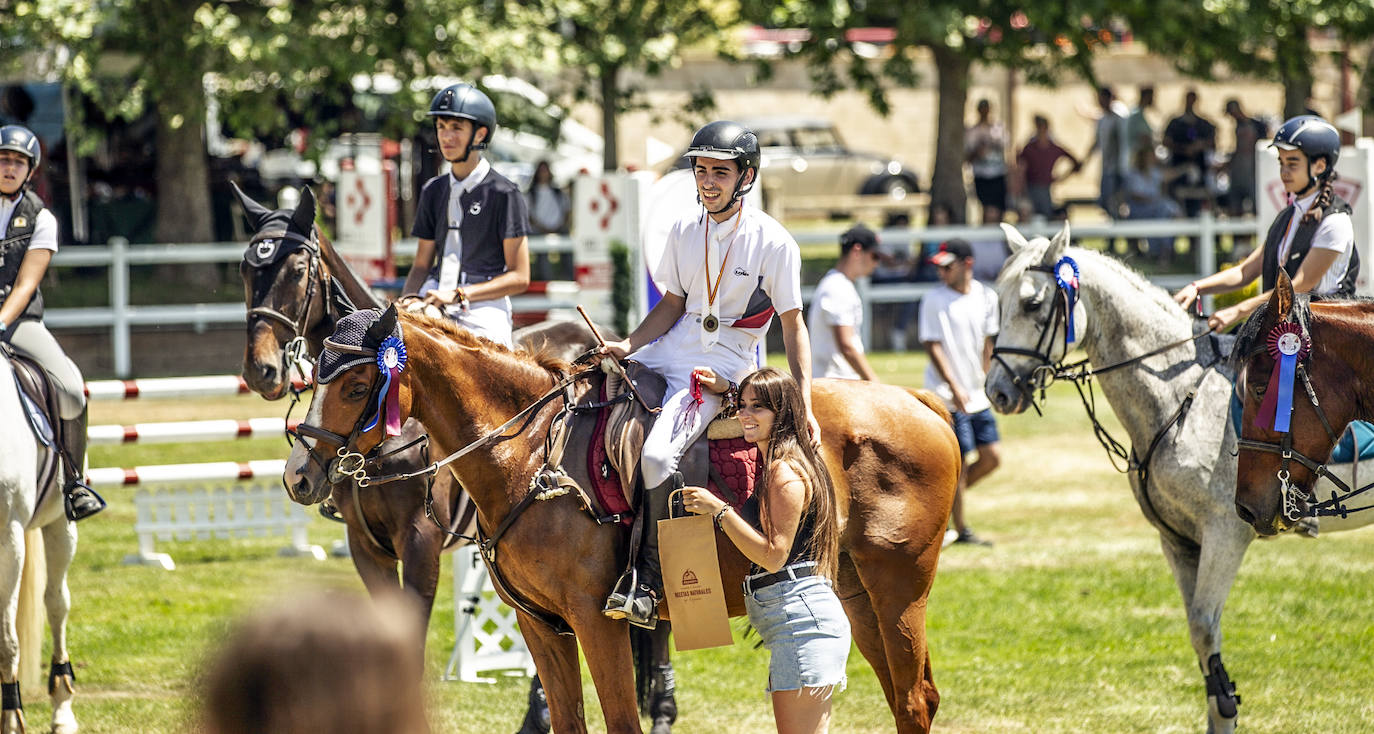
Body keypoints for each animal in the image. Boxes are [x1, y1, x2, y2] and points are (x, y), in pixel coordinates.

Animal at [284, 306, 961, 734]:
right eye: (313, 377)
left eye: (356, 388)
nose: (298, 476)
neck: (529, 454)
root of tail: (914, 399)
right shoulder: (542, 626)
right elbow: (568, 721)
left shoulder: (594, 621)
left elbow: (621, 720)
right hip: (852, 591)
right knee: (906, 697)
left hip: (899, 588)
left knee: (913, 698)